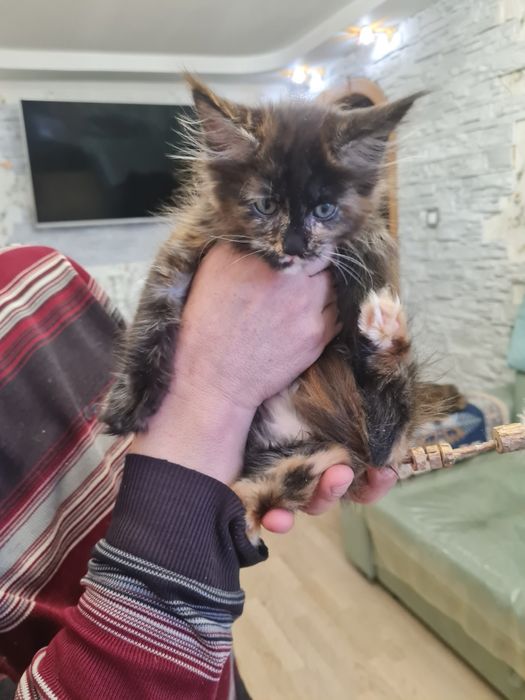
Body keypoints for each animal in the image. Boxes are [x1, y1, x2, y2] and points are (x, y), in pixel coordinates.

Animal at [101, 76, 429, 543]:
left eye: (325, 209)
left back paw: (384, 334)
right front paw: (130, 399)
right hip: (303, 462)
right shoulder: (186, 245)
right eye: (266, 206)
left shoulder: (366, 252)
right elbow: (151, 313)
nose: (294, 245)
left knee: (385, 434)